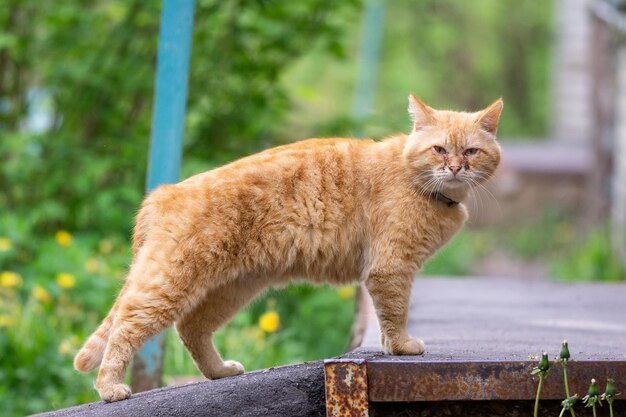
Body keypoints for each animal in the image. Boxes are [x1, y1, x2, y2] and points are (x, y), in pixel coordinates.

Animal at [74, 94, 502, 400]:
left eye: (471, 152)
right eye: (439, 149)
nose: (456, 168)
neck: (420, 184)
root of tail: (164, 192)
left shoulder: (389, 272)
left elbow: (387, 317)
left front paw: (389, 345)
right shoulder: (391, 268)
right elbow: (395, 315)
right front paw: (402, 348)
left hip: (232, 288)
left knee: (190, 328)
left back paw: (220, 372)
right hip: (168, 285)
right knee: (126, 327)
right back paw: (110, 388)